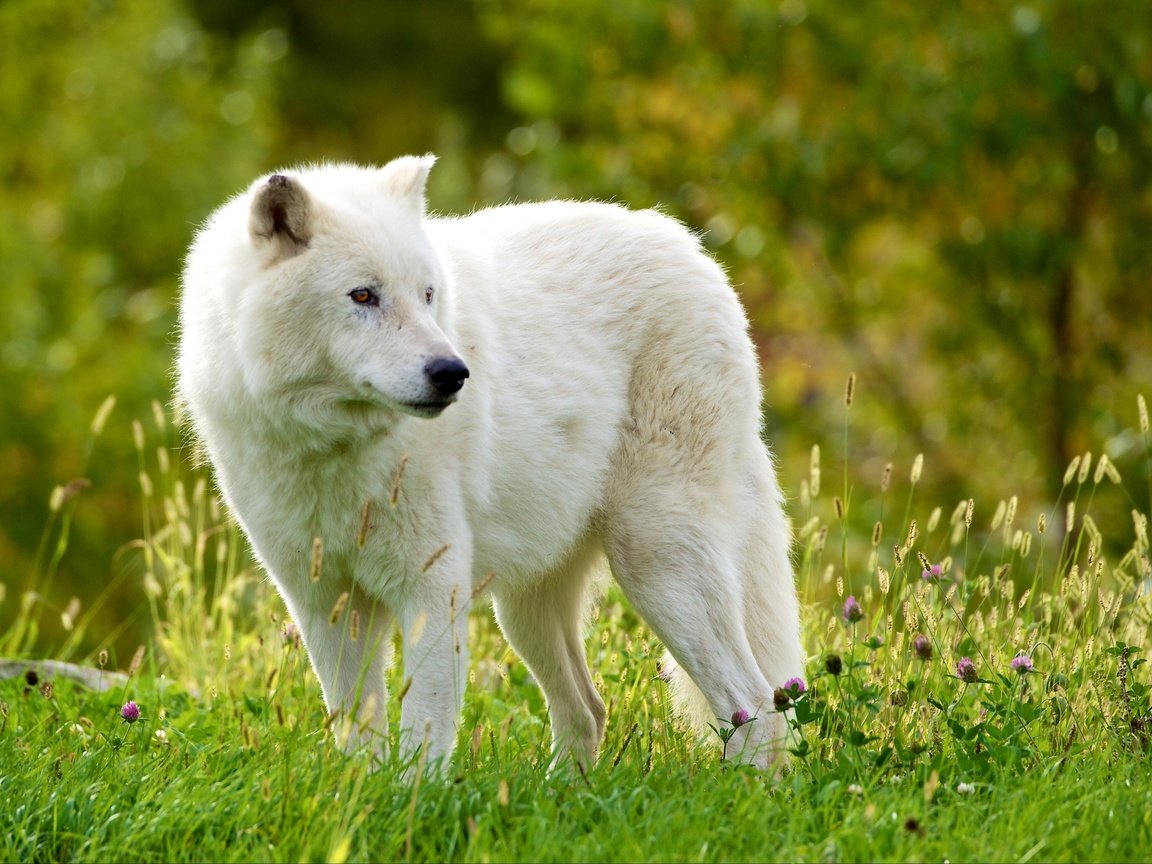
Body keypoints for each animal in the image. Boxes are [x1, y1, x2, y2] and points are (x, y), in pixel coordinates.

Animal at [179, 155, 806, 769]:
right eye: (363, 296)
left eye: (427, 294)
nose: (453, 373)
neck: (332, 449)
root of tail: (697, 255)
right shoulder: (325, 605)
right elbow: (358, 737)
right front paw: (360, 797)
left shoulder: (433, 592)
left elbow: (422, 741)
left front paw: (411, 802)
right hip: (525, 608)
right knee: (589, 710)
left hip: (656, 564)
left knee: (756, 706)